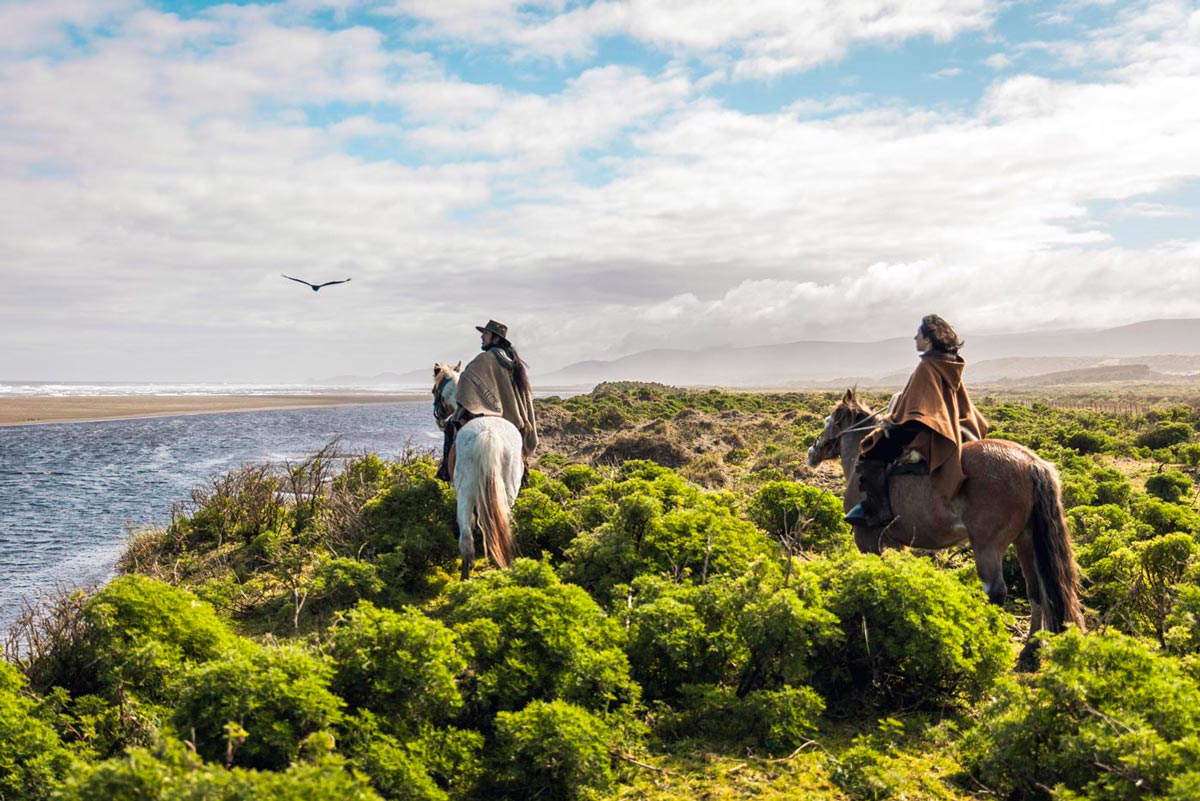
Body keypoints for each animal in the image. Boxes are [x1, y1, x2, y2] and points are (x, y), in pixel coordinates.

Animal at [434, 362, 523, 575]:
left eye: (434, 390)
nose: (439, 419)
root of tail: (488, 434)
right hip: (507, 492)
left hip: (465, 494)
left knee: (466, 538)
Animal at [811, 388, 1084, 637]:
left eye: (827, 420)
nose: (812, 451)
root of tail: (1031, 463)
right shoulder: (896, 543)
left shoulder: (866, 538)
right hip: (1026, 540)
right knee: (1036, 591)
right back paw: (1031, 647)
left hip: (988, 546)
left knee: (996, 592)